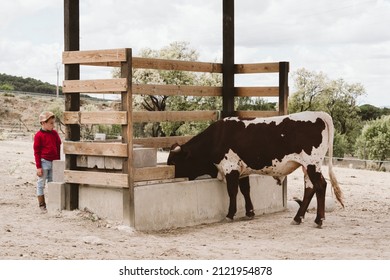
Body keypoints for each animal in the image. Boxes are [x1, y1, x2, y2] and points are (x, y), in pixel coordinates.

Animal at [168, 110, 344, 226]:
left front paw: (230, 214)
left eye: (174, 162)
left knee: (320, 186)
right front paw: (250, 212)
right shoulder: (242, 169)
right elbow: (246, 190)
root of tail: (320, 114)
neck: (217, 138)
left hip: (312, 164)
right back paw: (298, 218)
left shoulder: (231, 167)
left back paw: (319, 220)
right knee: (310, 188)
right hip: (307, 167)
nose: (170, 176)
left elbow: (233, 191)